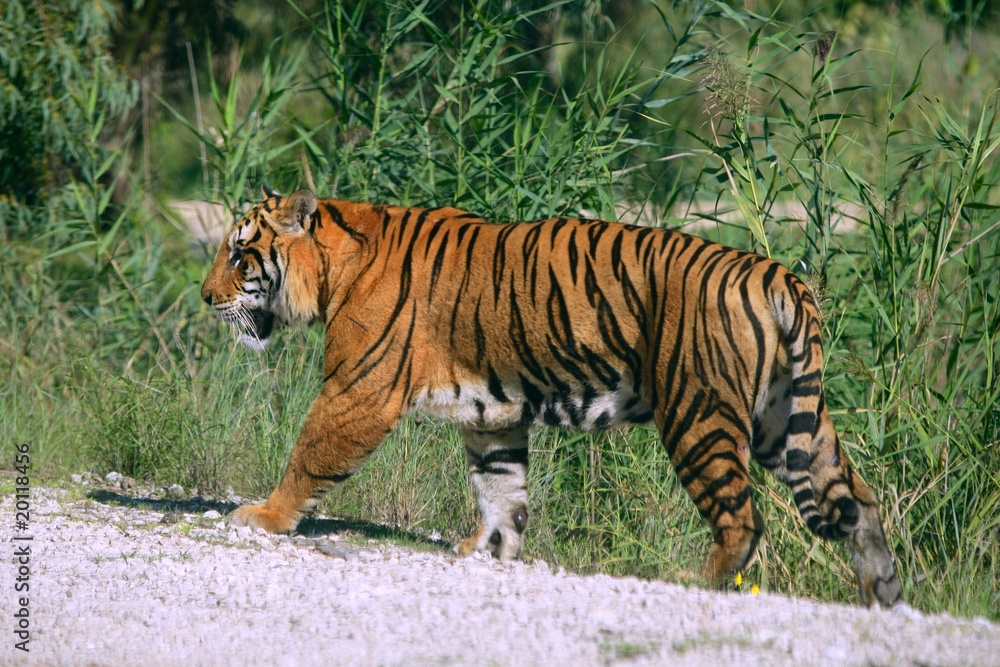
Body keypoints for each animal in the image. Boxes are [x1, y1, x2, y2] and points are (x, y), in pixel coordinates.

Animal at [201, 185, 902, 608]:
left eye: (239, 255)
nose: (206, 298)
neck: (334, 269)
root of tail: (779, 274)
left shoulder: (358, 391)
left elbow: (310, 455)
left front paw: (262, 516)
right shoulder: (491, 415)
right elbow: (501, 490)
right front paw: (487, 552)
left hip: (699, 412)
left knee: (741, 517)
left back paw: (693, 583)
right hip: (787, 422)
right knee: (859, 503)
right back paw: (884, 596)